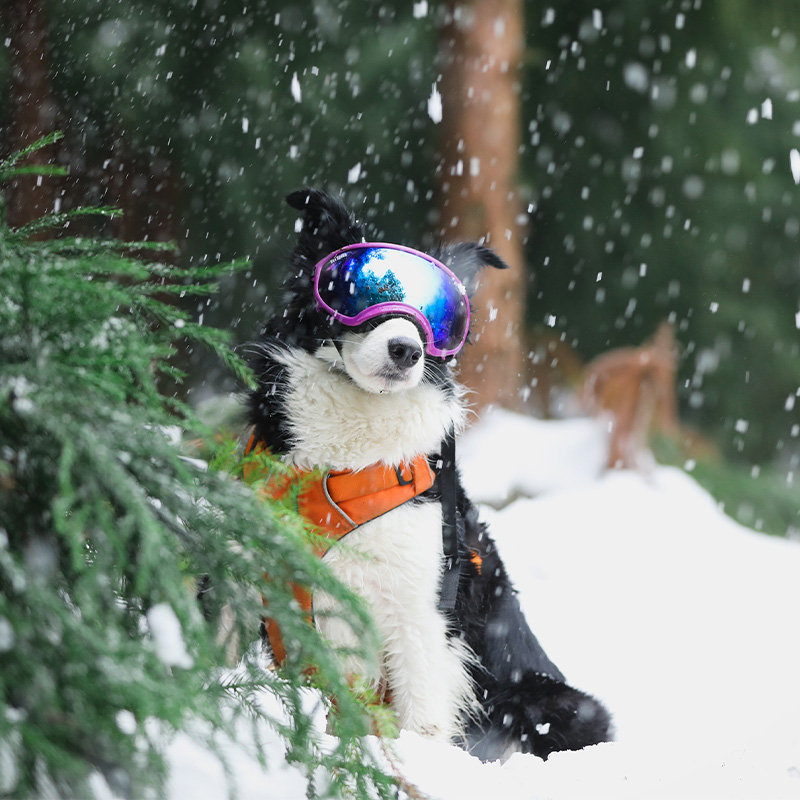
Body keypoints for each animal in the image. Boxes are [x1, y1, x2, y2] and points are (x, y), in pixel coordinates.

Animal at [247, 191, 608, 760]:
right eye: (359, 292)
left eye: (436, 321)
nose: (406, 350)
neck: (348, 457)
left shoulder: (421, 603)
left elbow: (420, 712)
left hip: (556, 702)